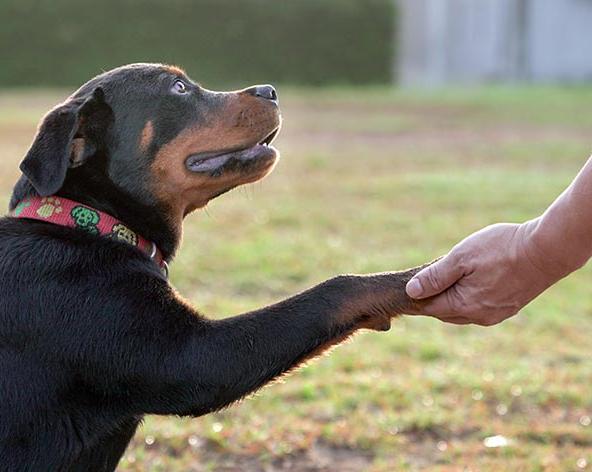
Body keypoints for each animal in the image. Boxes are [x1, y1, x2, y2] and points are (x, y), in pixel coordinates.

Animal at [0, 63, 426, 472]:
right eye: (178, 88)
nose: (270, 90)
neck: (88, 220)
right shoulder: (192, 358)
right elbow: (335, 291)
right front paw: (410, 279)